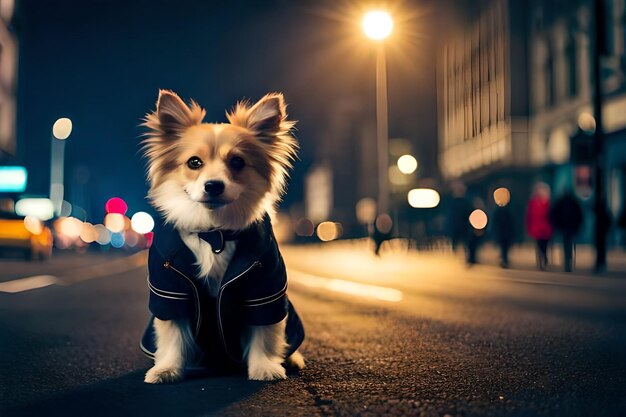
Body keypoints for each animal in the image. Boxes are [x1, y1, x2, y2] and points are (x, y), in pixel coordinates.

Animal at [142, 89, 308, 382]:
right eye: (194, 162)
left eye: (237, 162)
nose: (214, 186)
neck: (214, 234)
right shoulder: (170, 291)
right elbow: (173, 337)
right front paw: (167, 369)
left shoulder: (264, 292)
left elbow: (265, 334)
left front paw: (264, 367)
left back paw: (293, 358)